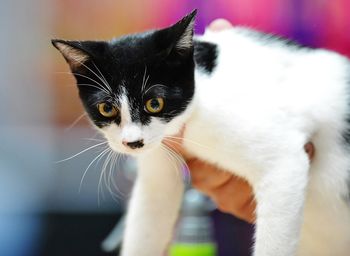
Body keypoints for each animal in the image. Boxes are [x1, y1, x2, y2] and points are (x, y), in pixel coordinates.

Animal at [52, 9, 350, 256]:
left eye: (155, 103)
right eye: (106, 108)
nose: (133, 142)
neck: (199, 100)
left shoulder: (283, 164)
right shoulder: (158, 158)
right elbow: (151, 209)